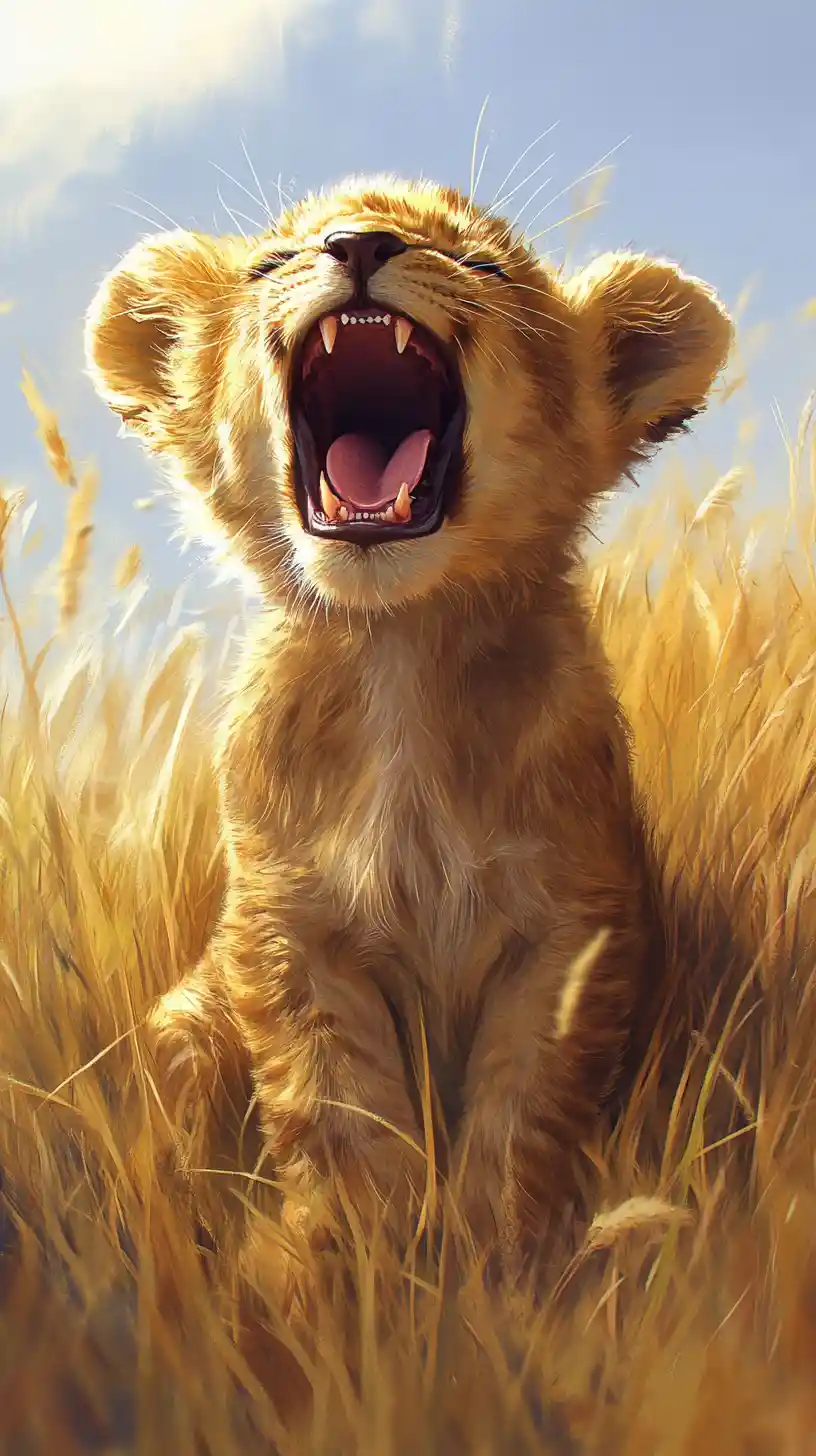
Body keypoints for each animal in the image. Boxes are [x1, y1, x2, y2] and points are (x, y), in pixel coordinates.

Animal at [85, 175, 732, 1289]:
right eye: (273, 262)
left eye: (483, 266)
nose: (358, 245)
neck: (400, 649)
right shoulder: (289, 930)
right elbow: (339, 1105)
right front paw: (349, 1260)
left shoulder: (572, 931)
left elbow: (525, 1102)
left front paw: (497, 1261)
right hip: (186, 1023)